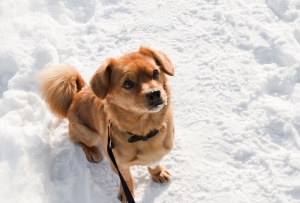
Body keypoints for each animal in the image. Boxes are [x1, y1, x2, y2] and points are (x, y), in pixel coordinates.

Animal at [40, 46, 176, 202]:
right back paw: (92, 152)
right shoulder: (118, 164)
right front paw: (126, 193)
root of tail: (77, 93)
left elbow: (153, 164)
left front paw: (157, 173)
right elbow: (127, 179)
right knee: (77, 140)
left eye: (155, 73)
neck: (144, 132)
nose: (154, 93)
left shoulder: (156, 155)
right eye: (127, 84)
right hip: (90, 135)